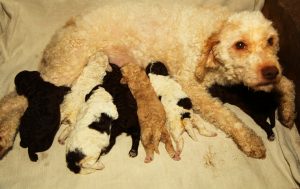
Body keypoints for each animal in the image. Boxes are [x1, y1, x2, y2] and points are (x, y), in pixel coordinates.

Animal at [0, 1, 296, 158]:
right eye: (240, 45)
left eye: (271, 41)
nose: (269, 71)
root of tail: (60, 33)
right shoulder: (190, 85)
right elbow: (224, 115)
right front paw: (249, 139)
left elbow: (288, 82)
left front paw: (288, 110)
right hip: (65, 71)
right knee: (14, 101)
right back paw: (5, 135)